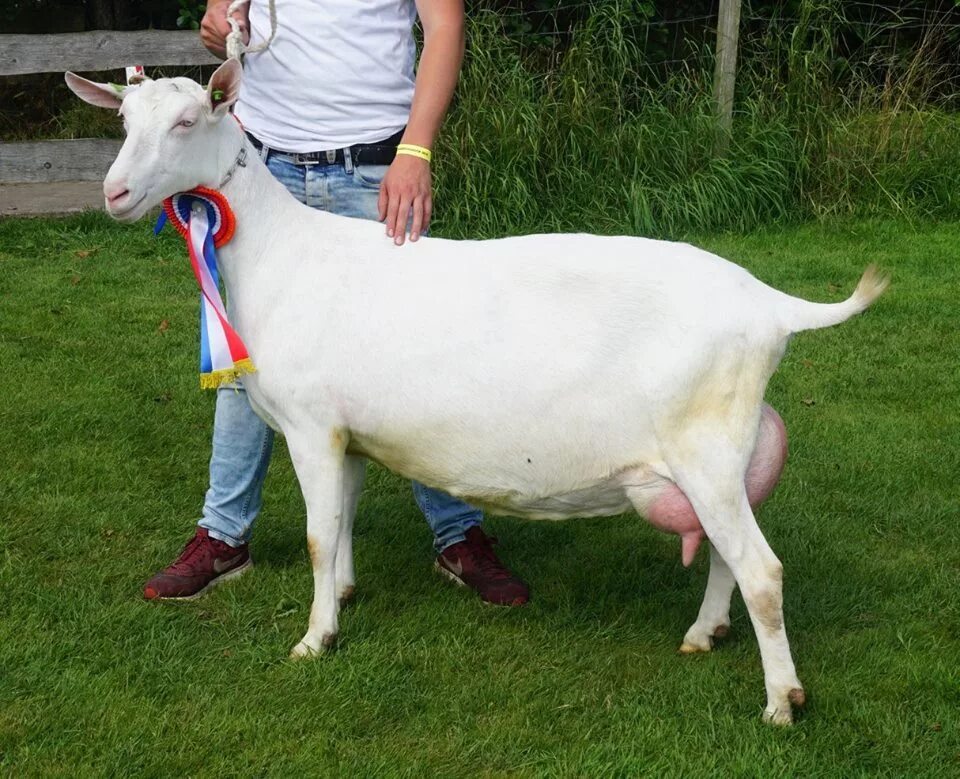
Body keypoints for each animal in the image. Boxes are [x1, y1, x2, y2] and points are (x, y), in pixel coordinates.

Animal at [69, 61, 892, 724]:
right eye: (123, 121)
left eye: (186, 121)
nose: (114, 193)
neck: (281, 255)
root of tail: (772, 305)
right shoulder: (349, 433)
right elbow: (341, 523)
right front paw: (344, 597)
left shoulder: (310, 425)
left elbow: (315, 535)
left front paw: (314, 639)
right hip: (719, 461)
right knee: (729, 555)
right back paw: (705, 633)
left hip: (706, 449)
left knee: (763, 572)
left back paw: (781, 702)